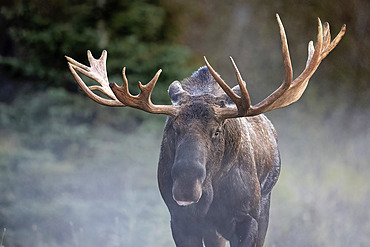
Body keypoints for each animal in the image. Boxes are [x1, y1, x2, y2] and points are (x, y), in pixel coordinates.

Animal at [66, 14, 344, 246]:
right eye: (173, 129)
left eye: (217, 131)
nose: (186, 184)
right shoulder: (181, 221)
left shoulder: (248, 220)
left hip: (263, 206)